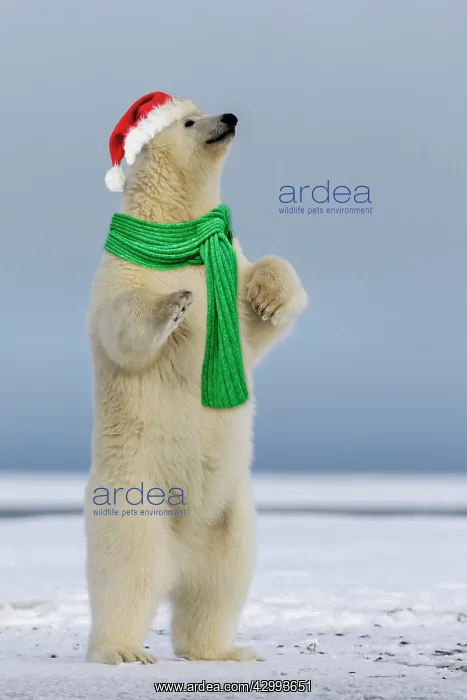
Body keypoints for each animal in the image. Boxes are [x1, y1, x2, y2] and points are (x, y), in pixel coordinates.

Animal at [84, 94, 308, 665]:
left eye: (205, 109)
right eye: (189, 121)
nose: (229, 118)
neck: (177, 234)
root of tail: (179, 552)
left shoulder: (229, 264)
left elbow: (255, 316)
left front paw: (269, 298)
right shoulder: (120, 273)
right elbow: (124, 325)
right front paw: (176, 305)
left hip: (232, 517)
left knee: (219, 584)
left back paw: (222, 650)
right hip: (134, 496)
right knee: (128, 570)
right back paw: (122, 650)